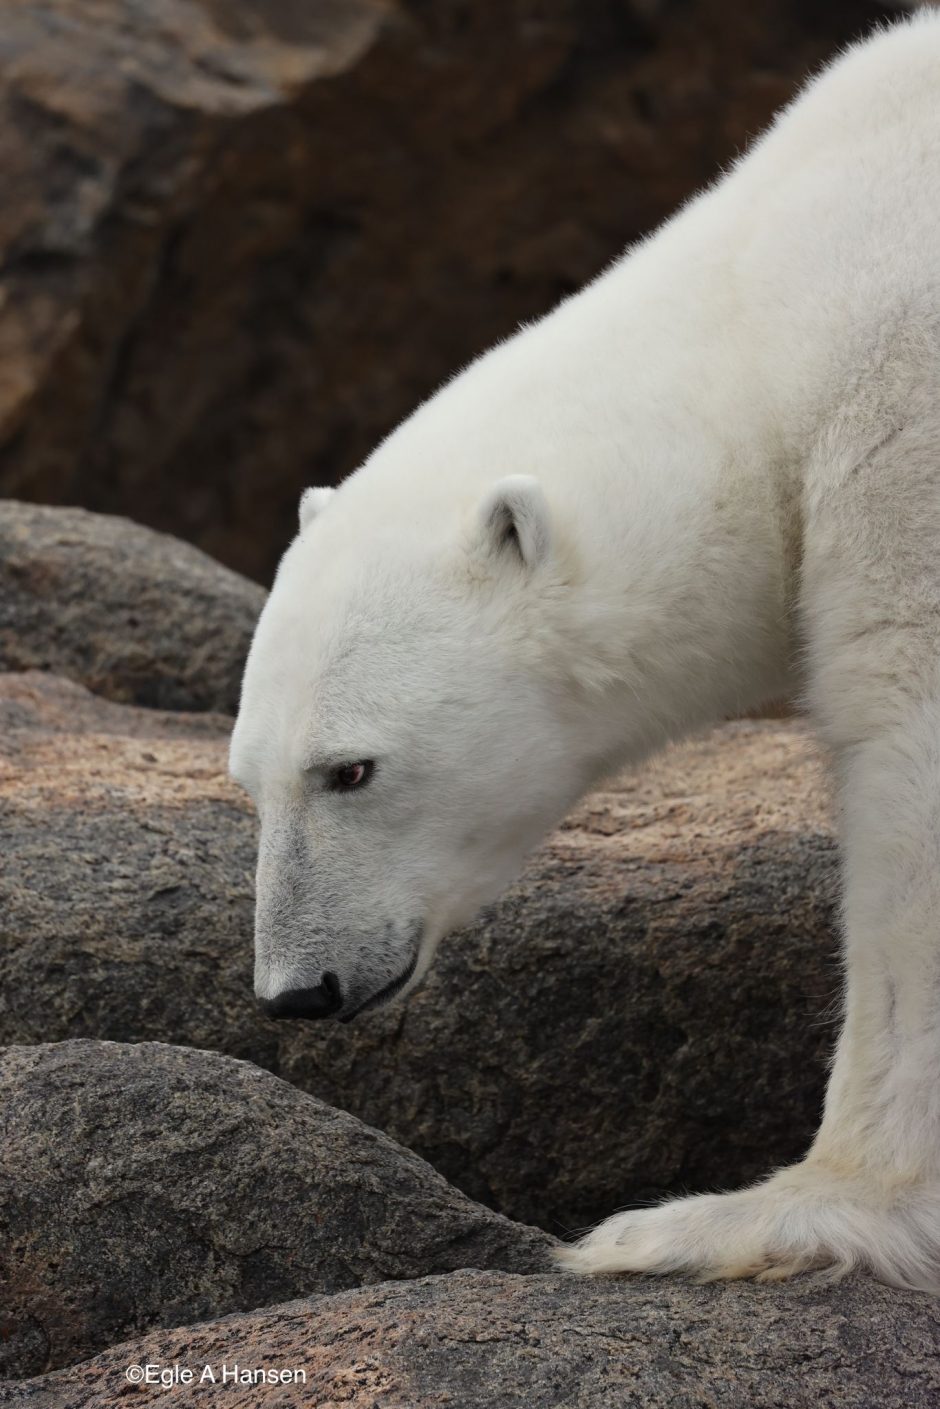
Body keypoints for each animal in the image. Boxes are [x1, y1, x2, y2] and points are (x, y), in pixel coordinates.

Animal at [231, 11, 940, 1290]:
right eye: (245, 779)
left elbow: (908, 737)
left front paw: (746, 1214)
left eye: (350, 768)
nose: (297, 989)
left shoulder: (905, 414)